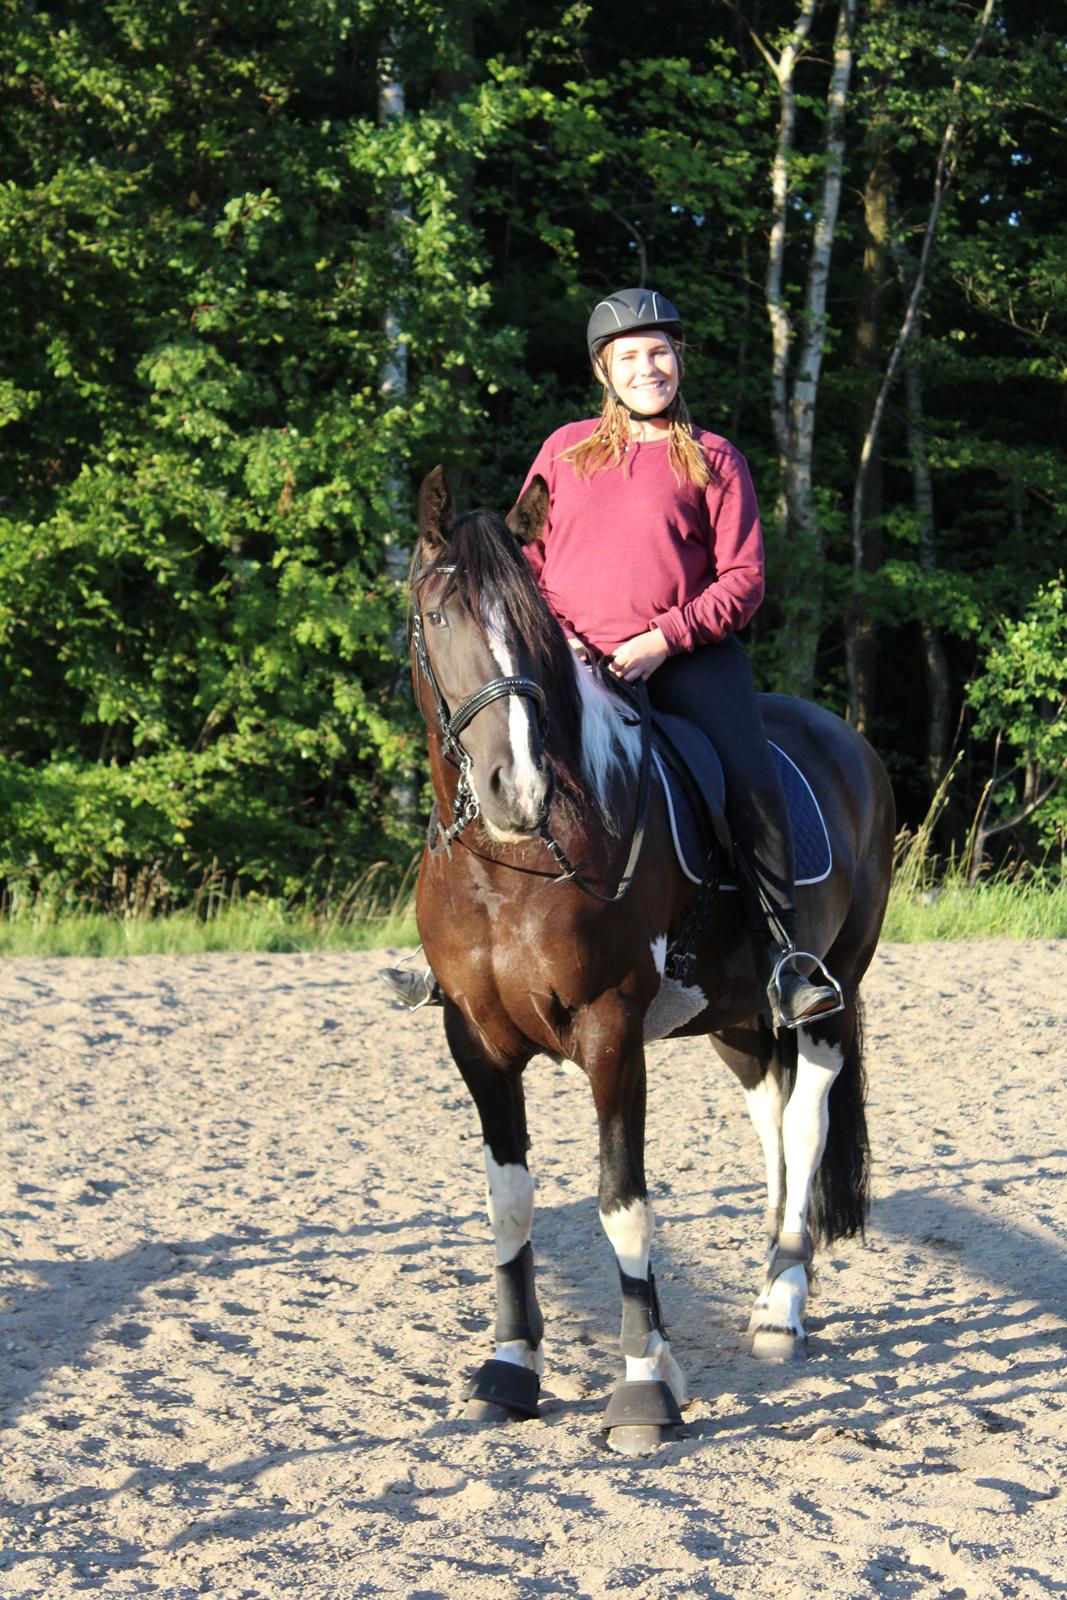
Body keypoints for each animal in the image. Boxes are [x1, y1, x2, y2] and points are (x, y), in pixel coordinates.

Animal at [406, 464, 895, 1452]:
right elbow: (509, 1204)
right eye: (439, 616)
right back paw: (771, 1282)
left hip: (833, 990)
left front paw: (642, 1389)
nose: (516, 789)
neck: (508, 866)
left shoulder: (610, 1031)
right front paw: (510, 1372)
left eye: (533, 627)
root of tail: (847, 739)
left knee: (807, 1120)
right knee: (771, 1117)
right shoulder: (473, 1040)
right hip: (737, 1015)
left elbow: (622, 1205)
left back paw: (783, 1303)